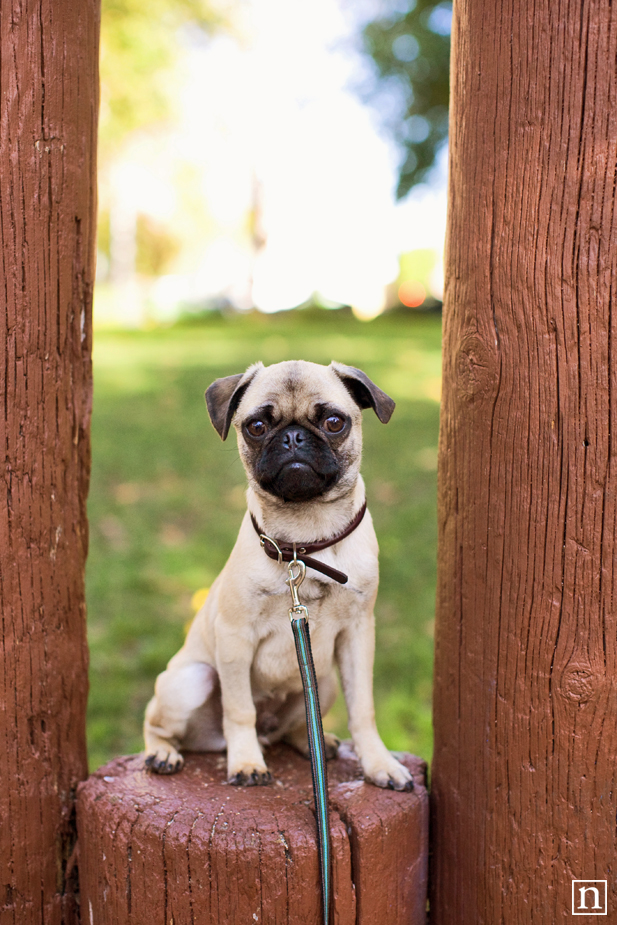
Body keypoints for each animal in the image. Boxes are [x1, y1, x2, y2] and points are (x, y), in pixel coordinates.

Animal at [143, 358, 414, 792]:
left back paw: (316, 744)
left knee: (301, 723)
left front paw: (378, 763)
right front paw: (246, 763)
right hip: (191, 681)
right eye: (256, 426)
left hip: (325, 677)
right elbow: (239, 710)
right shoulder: (234, 638)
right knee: (159, 726)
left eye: (334, 422)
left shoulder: (358, 635)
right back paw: (163, 754)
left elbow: (363, 710)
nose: (293, 438)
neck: (306, 541)